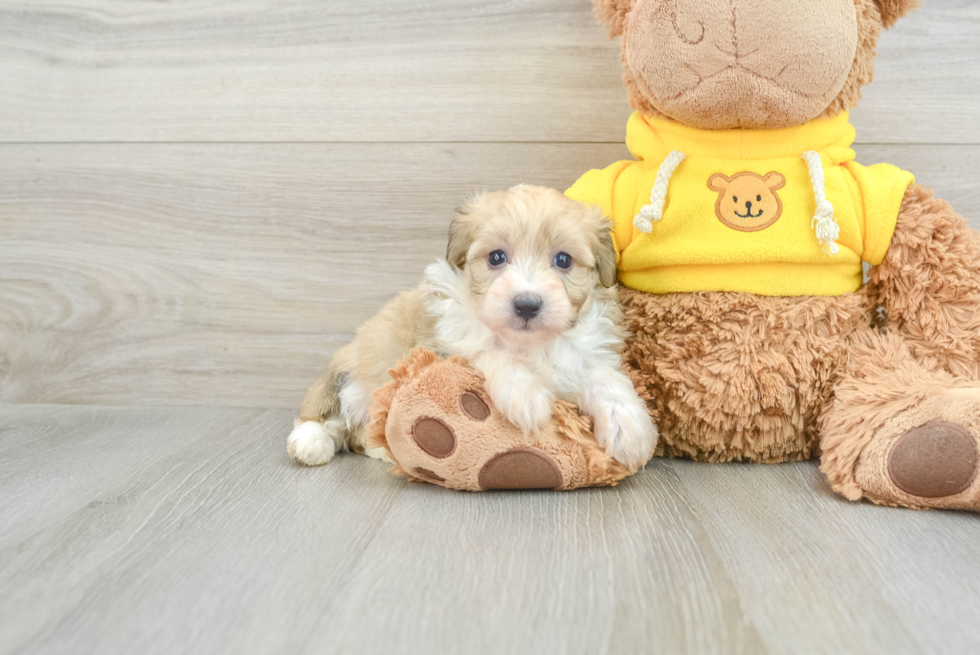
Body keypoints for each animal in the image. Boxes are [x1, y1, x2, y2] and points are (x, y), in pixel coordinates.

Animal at [290, 184, 660, 472]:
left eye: (563, 260)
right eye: (496, 257)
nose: (527, 304)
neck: (531, 344)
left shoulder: (582, 354)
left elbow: (604, 377)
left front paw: (629, 426)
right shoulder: (441, 346)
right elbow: (487, 349)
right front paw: (526, 394)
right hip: (348, 378)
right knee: (330, 419)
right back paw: (315, 443)